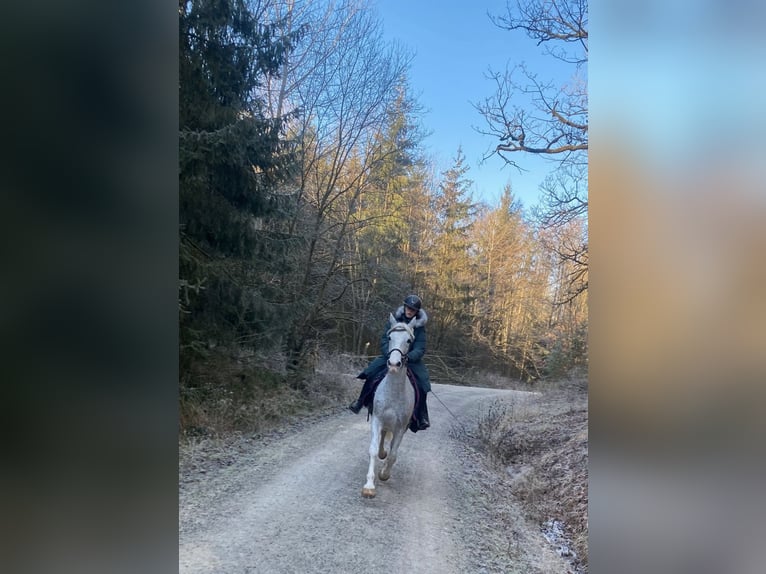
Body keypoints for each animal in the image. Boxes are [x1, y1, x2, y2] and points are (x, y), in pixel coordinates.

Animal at [364, 316, 416, 500]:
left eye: (408, 340)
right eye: (390, 337)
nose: (393, 363)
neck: (393, 391)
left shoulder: (401, 427)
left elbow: (393, 455)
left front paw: (384, 475)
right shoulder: (377, 419)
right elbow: (372, 450)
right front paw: (369, 486)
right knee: (381, 440)